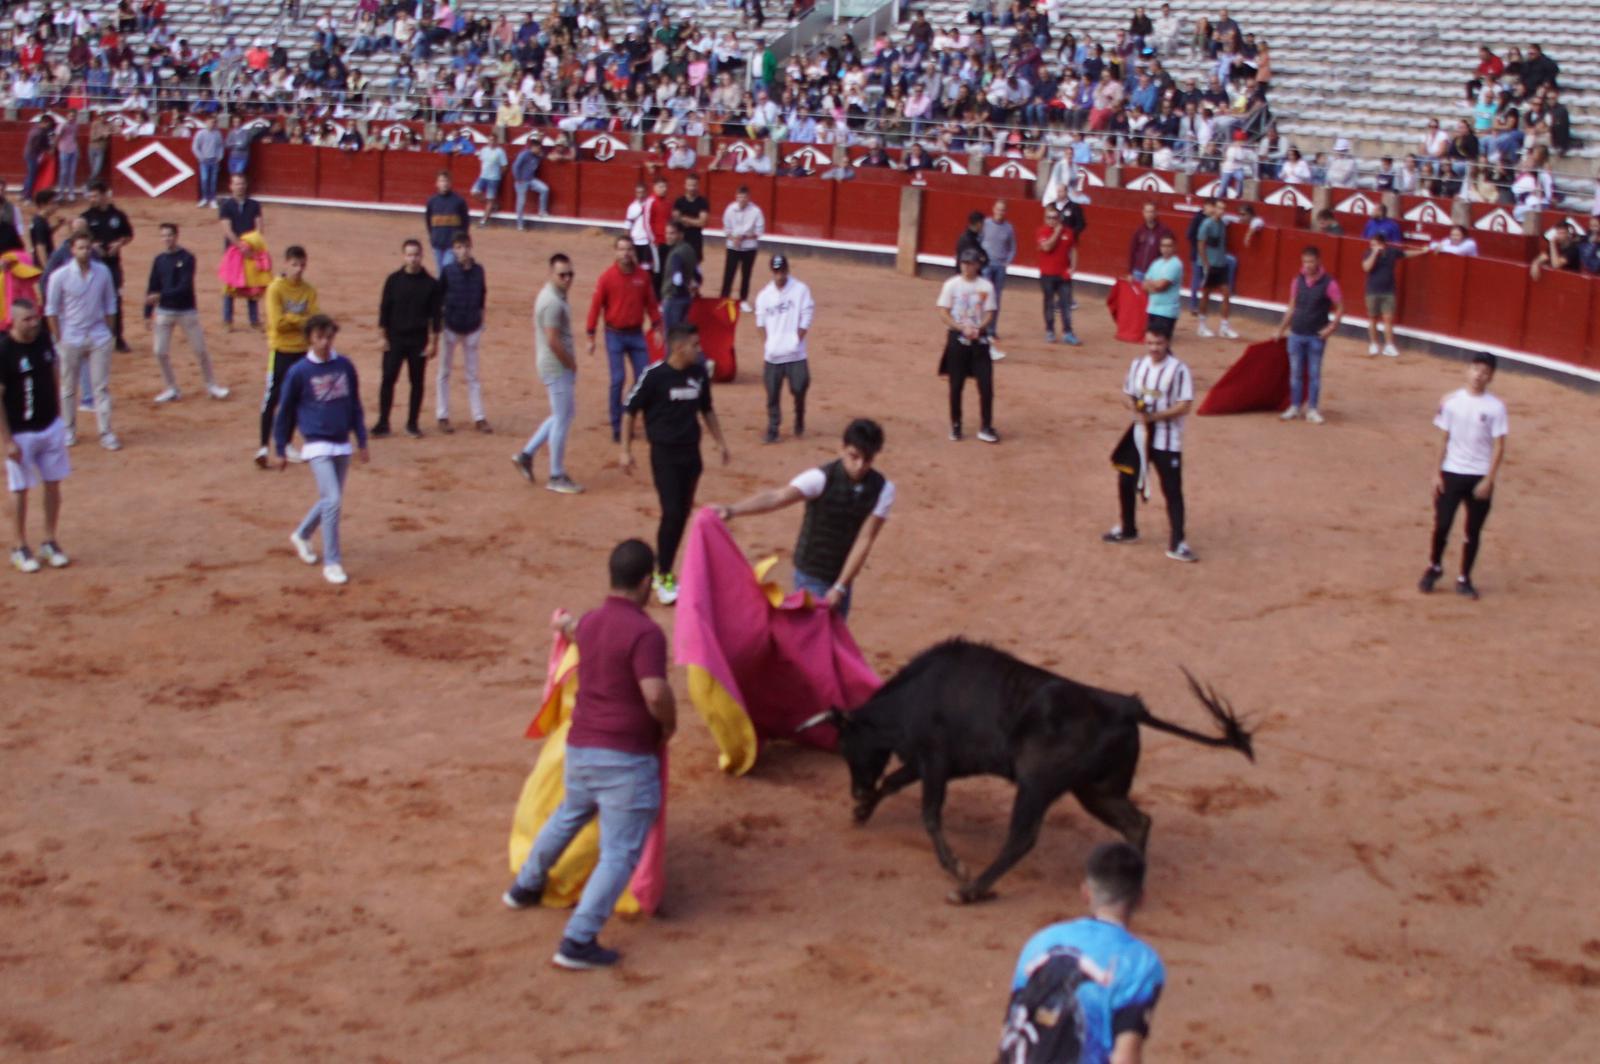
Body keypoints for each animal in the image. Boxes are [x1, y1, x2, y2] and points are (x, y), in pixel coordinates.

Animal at [796, 640, 1248, 902]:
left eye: (846, 745)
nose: (855, 793)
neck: (917, 693)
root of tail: (1125, 705)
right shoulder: (930, 763)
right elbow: (892, 782)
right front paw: (862, 811)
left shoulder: (936, 761)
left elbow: (929, 814)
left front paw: (955, 866)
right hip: (1096, 790)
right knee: (1137, 822)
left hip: (1036, 783)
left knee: (1023, 837)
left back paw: (971, 889)